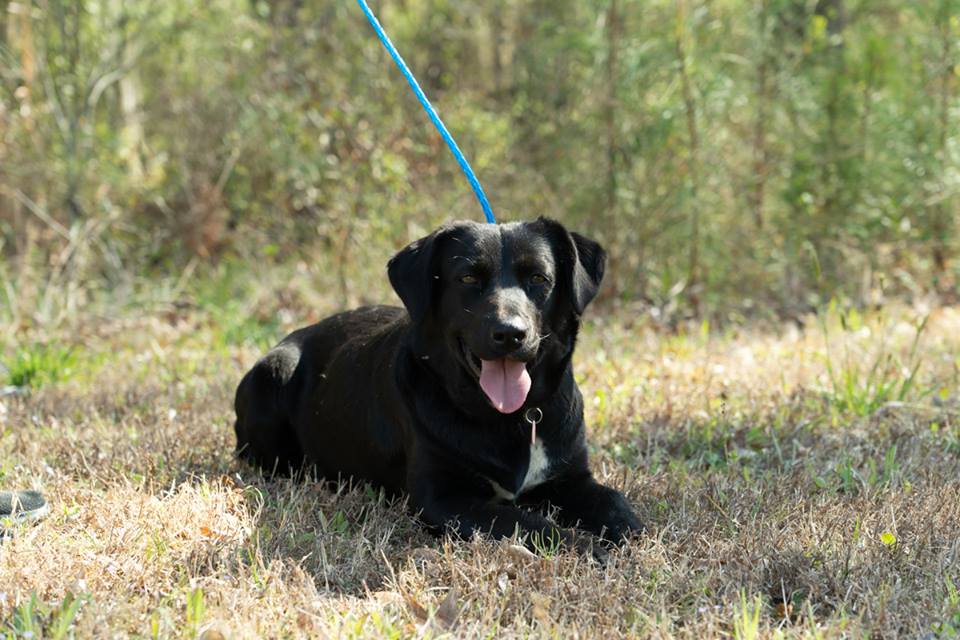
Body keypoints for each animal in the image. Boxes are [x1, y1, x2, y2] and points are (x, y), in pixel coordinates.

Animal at [234, 217, 642, 552]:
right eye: (468, 278)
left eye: (538, 279)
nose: (510, 334)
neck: (512, 418)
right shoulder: (444, 500)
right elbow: (526, 522)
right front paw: (585, 546)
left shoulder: (571, 477)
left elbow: (619, 507)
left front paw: (629, 535)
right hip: (273, 373)